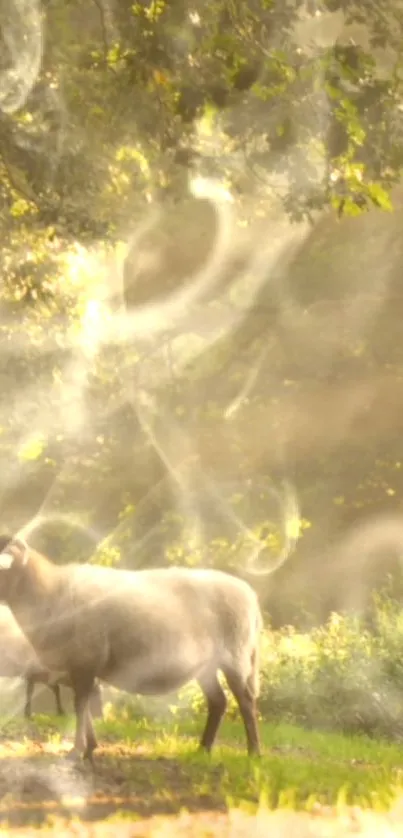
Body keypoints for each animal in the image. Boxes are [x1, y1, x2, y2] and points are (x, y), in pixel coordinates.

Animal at [0, 540, 264, 760]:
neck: (48, 593)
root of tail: (250, 593)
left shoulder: (85, 659)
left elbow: (80, 705)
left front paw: (77, 750)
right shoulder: (79, 665)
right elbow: (83, 705)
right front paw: (90, 747)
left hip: (236, 656)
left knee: (246, 702)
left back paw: (254, 752)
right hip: (207, 667)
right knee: (219, 702)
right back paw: (203, 749)